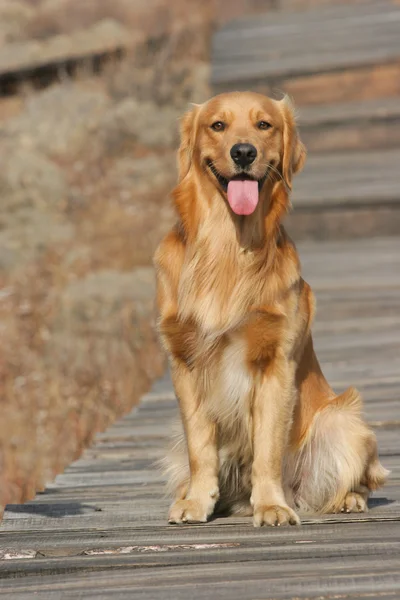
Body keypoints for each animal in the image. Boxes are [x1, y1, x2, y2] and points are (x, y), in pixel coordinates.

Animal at [153, 89, 388, 524]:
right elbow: (200, 447)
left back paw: (345, 499)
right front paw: (196, 500)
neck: (227, 247)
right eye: (217, 125)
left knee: (356, 479)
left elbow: (267, 448)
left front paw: (272, 506)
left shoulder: (275, 363)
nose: (244, 152)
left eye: (264, 125)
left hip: (344, 420)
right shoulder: (185, 362)